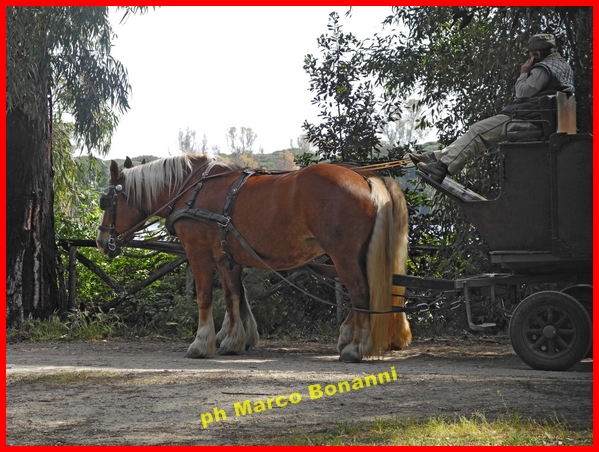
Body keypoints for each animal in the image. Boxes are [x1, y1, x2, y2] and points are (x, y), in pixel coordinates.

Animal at [96, 154, 411, 362]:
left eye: (107, 201)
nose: (101, 242)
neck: (192, 189)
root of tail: (366, 177)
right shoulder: (227, 255)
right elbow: (234, 295)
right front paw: (234, 340)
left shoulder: (198, 252)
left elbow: (206, 296)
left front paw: (202, 343)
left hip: (343, 255)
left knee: (361, 293)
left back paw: (356, 347)